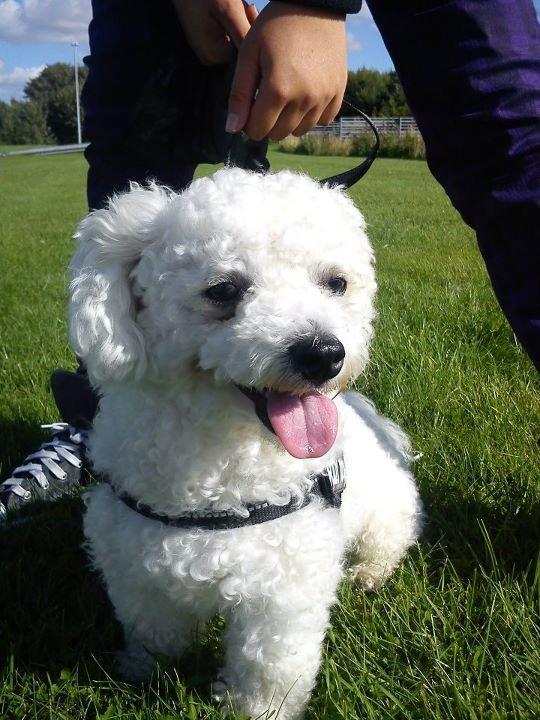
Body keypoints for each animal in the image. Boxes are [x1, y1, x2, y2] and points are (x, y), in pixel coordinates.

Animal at [68, 167, 422, 720]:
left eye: (336, 283)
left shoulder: (282, 592)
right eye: (223, 290)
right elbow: (151, 631)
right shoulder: (135, 566)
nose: (324, 354)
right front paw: (141, 671)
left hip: (387, 517)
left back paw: (368, 573)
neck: (220, 479)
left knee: (387, 545)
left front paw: (256, 709)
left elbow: (268, 667)